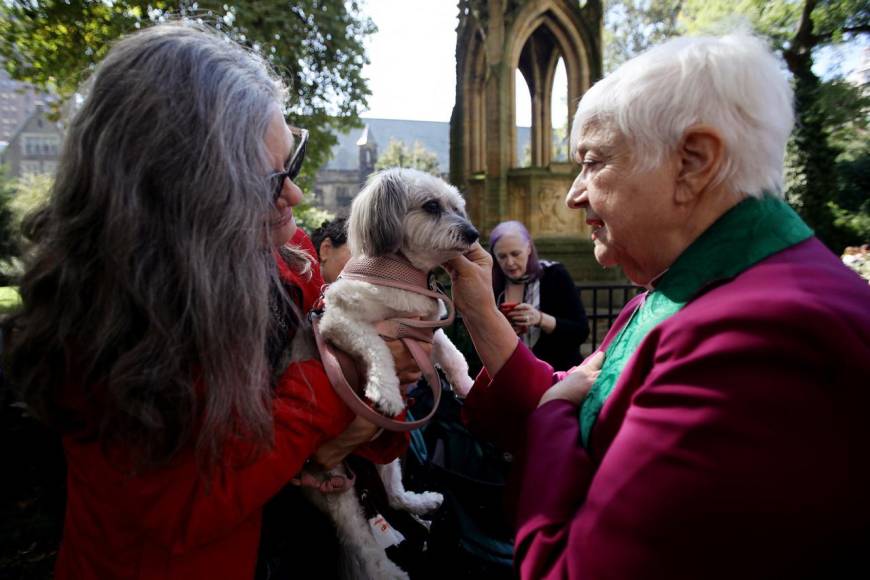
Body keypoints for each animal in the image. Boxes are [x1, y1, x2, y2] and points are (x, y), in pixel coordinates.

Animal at [310, 168, 480, 580]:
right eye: (431, 206)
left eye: (459, 207)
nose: (472, 233)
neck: (401, 276)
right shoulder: (339, 322)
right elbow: (375, 345)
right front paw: (385, 389)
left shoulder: (427, 332)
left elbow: (454, 358)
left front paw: (468, 386)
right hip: (333, 487)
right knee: (361, 546)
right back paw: (387, 571)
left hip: (389, 450)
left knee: (394, 495)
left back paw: (423, 503)